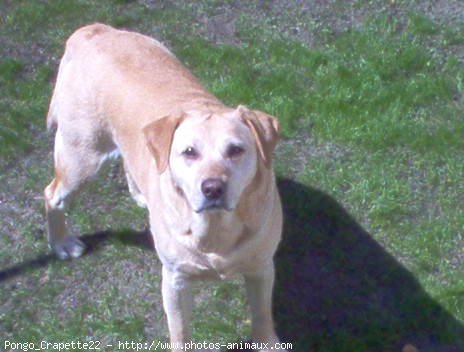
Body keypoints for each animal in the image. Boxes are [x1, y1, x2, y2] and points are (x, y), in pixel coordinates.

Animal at [44, 23, 282, 350]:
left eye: (236, 150)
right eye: (189, 152)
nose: (213, 188)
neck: (215, 228)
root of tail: (93, 30)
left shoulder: (261, 267)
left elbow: (262, 315)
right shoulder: (175, 279)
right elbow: (180, 331)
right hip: (80, 158)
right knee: (52, 195)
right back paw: (61, 243)